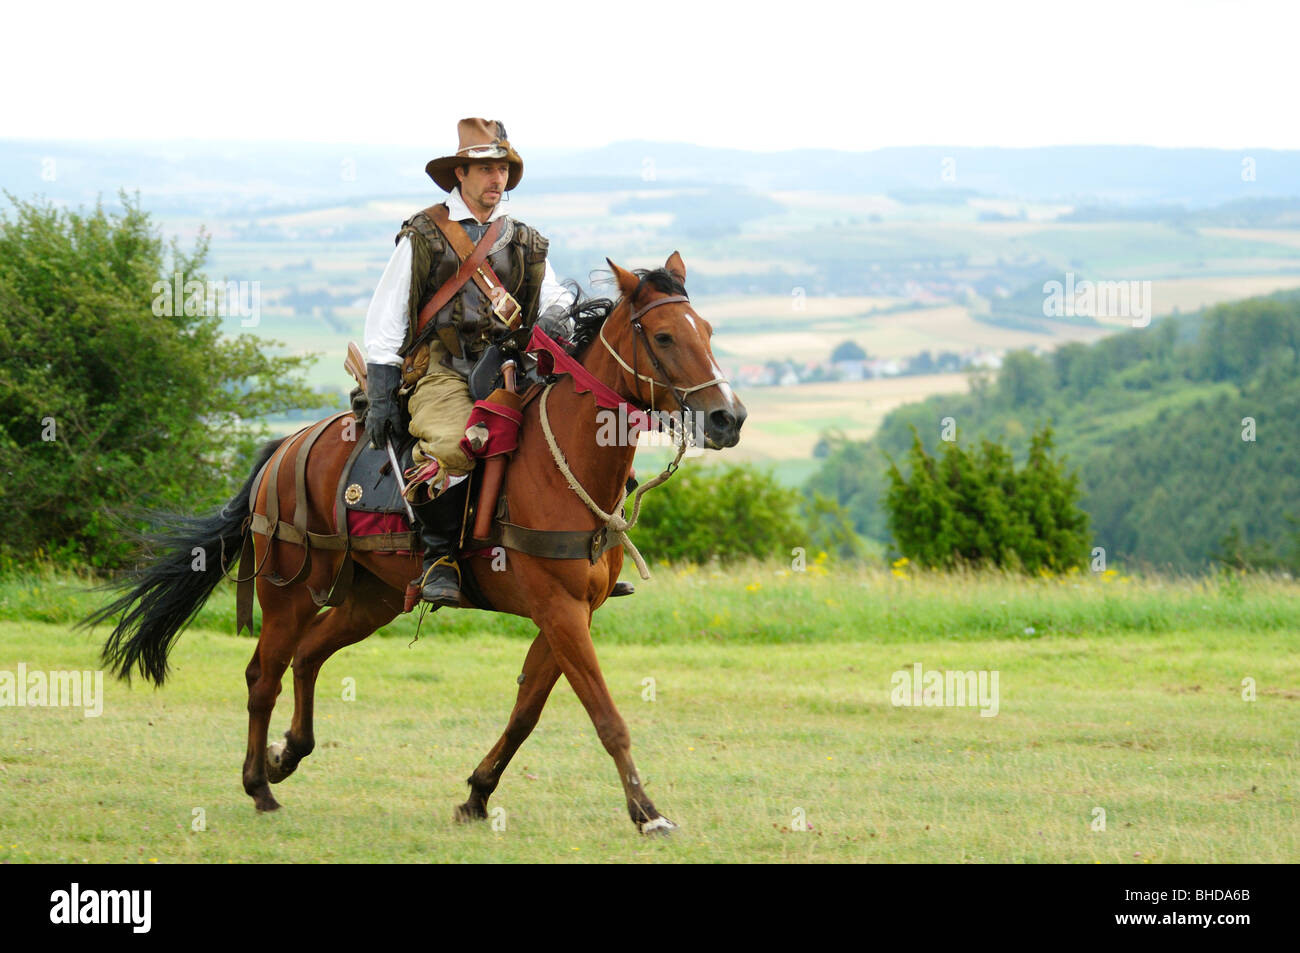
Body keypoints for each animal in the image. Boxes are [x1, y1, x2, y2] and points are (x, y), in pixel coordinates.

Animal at [89, 250, 743, 832]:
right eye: (663, 336)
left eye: (707, 330)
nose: (727, 418)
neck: (564, 464)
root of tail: (284, 449)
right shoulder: (559, 612)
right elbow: (605, 716)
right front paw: (648, 813)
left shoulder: (570, 614)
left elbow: (526, 712)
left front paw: (477, 794)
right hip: (288, 594)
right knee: (262, 676)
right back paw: (258, 785)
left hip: (370, 599)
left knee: (309, 655)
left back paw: (287, 755)